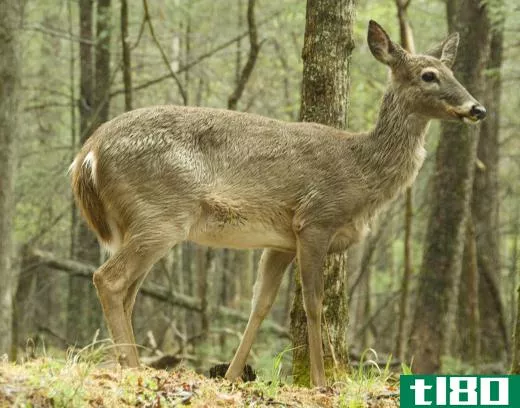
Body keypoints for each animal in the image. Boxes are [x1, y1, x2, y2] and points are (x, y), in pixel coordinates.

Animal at [70, 20, 488, 388]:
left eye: (451, 71)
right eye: (428, 75)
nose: (477, 108)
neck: (361, 171)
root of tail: (87, 153)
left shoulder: (280, 241)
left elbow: (261, 304)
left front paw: (233, 376)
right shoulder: (315, 219)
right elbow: (314, 305)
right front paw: (319, 381)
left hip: (141, 221)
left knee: (128, 292)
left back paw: (133, 362)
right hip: (161, 214)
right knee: (108, 279)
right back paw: (133, 367)